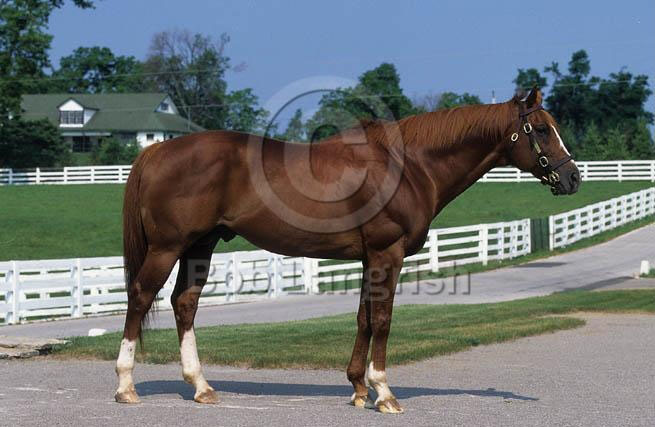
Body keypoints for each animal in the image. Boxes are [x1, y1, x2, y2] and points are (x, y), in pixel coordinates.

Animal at [114, 87, 580, 414]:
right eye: (541, 129)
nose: (572, 177)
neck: (410, 166)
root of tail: (158, 148)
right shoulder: (387, 254)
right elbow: (384, 320)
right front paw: (384, 393)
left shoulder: (370, 258)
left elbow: (363, 319)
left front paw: (357, 388)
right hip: (168, 247)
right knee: (140, 297)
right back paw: (125, 386)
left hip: (200, 246)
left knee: (184, 302)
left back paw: (201, 387)